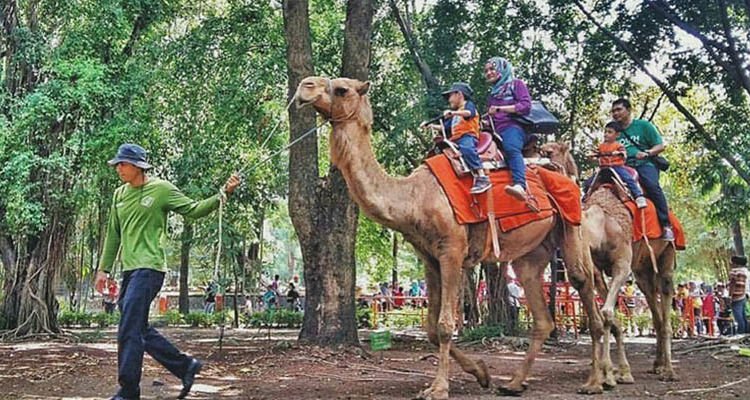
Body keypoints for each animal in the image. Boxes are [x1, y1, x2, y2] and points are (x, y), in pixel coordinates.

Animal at [296, 76, 612, 398]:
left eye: (341, 89)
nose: (304, 87)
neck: (415, 196)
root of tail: (567, 173)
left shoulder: (452, 251)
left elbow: (446, 325)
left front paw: (437, 388)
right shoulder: (429, 257)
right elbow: (431, 328)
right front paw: (482, 373)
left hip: (571, 224)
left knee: (585, 288)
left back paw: (595, 381)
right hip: (532, 252)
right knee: (541, 314)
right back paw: (514, 383)